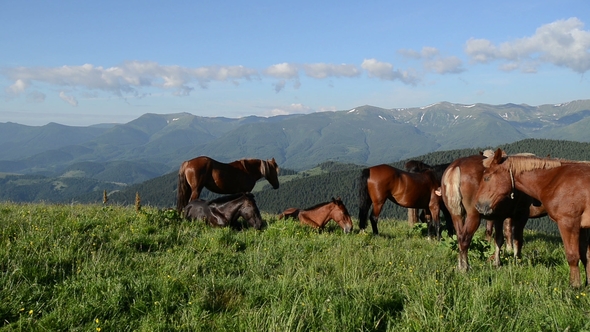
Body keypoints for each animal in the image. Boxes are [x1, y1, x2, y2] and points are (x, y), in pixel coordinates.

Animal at [474, 149, 590, 286]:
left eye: (487, 178)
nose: (478, 205)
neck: (556, 180)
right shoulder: (582, 226)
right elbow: (586, 255)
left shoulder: (568, 223)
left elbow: (573, 255)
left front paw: (575, 285)